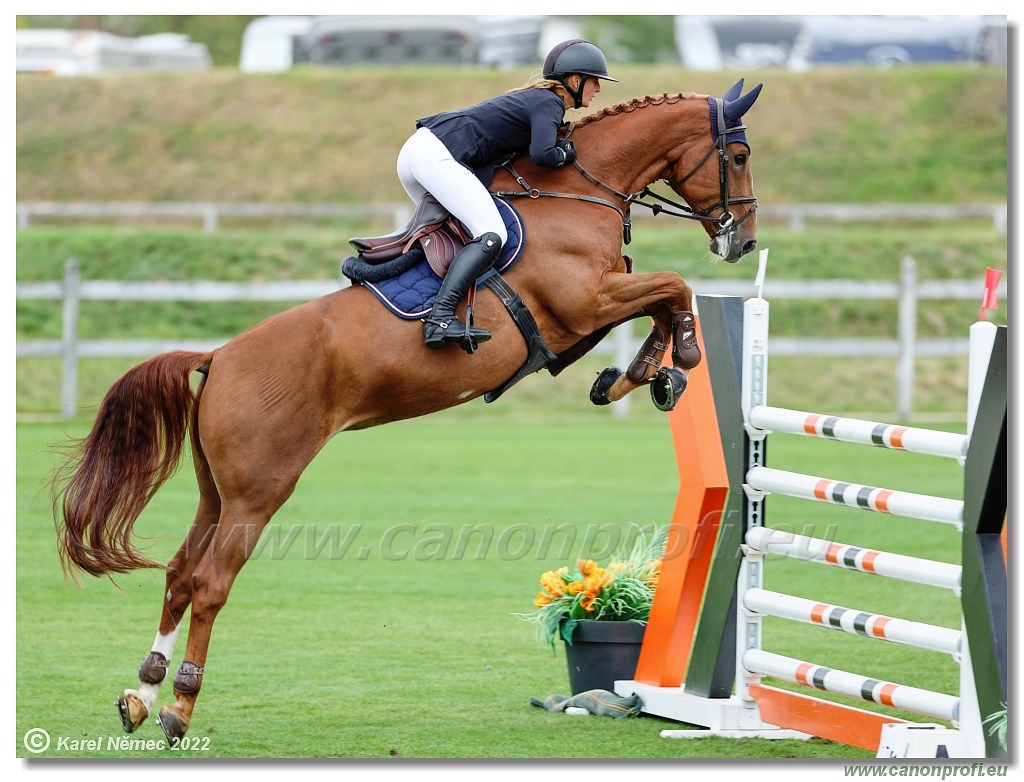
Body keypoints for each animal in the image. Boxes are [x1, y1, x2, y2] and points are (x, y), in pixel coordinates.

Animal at [54, 79, 761, 745]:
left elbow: (662, 299)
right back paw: (178, 706)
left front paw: (641, 375)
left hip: (216, 491)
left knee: (179, 575)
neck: (576, 194)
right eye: (740, 156)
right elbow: (673, 287)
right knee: (208, 585)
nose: (744, 242)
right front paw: (675, 359)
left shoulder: (596, 306)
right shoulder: (586, 302)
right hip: (260, 492)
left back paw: (141, 694)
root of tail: (220, 356)